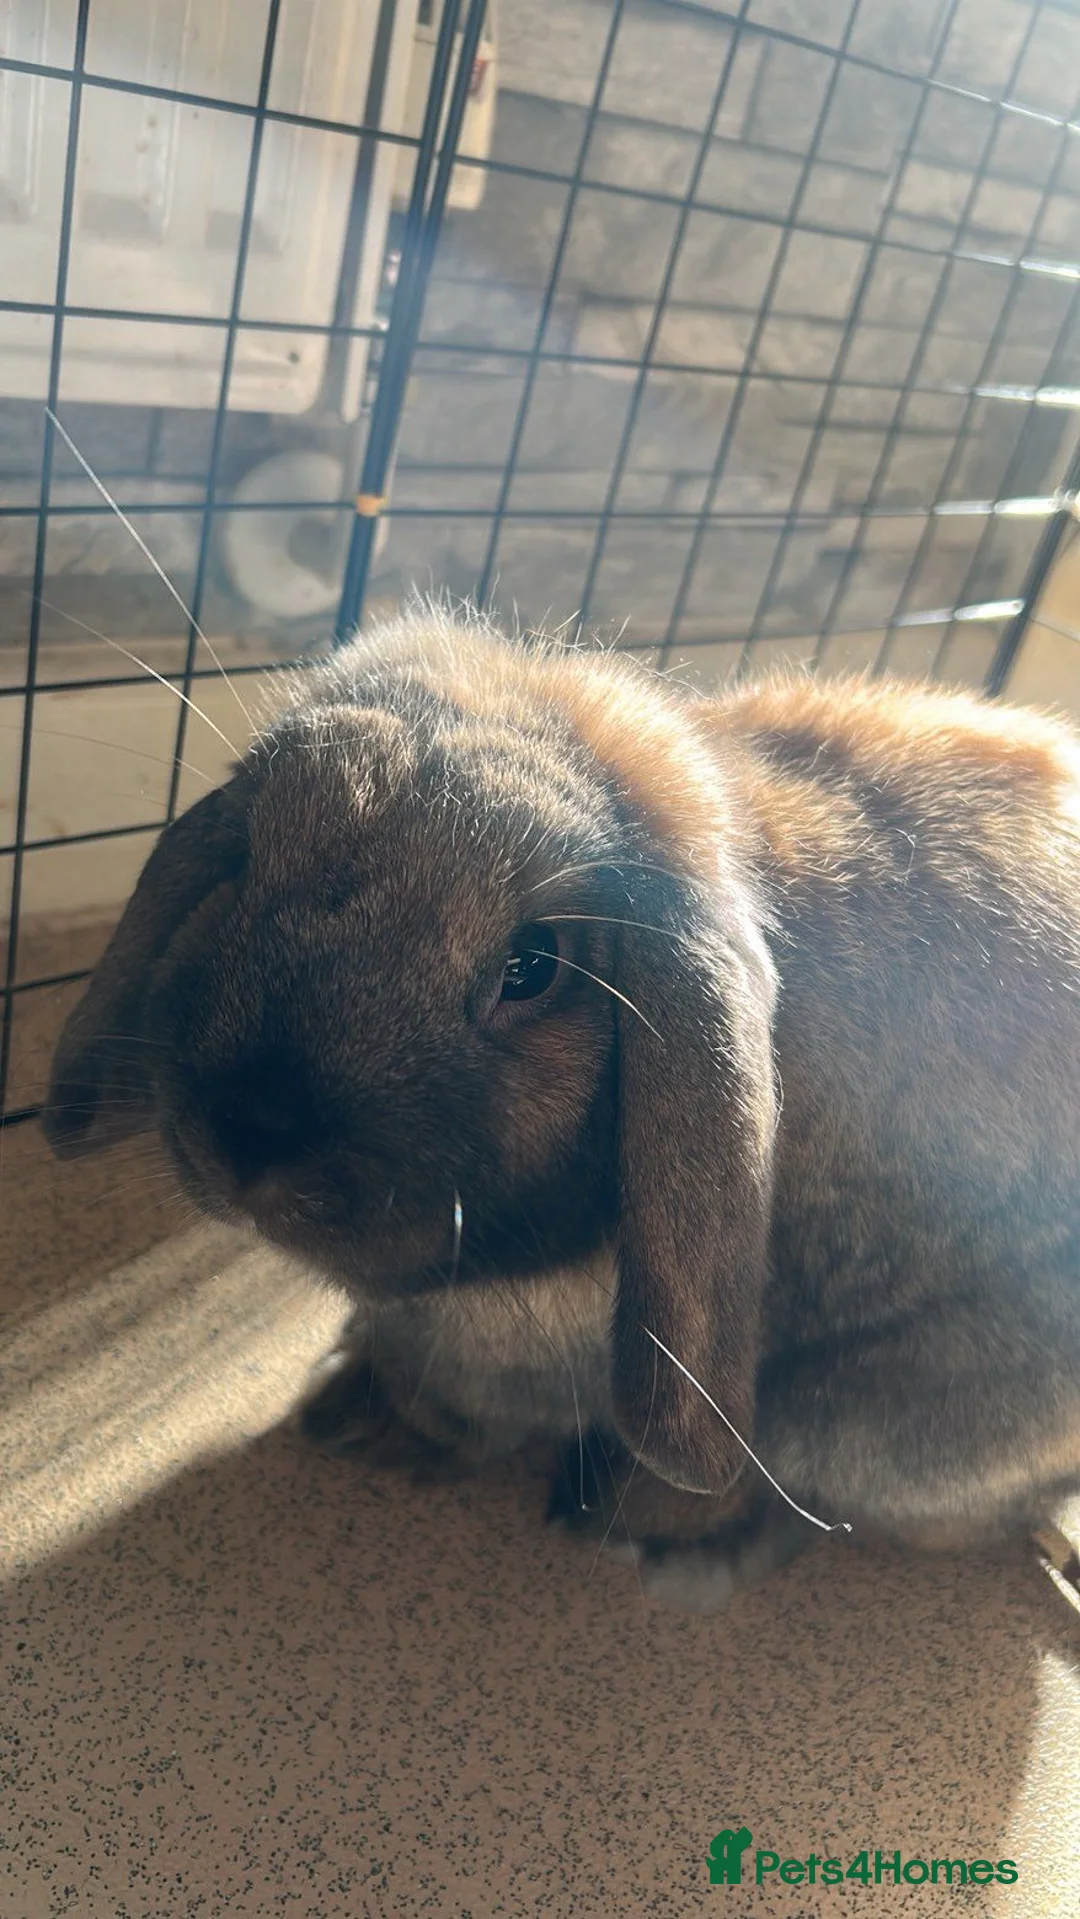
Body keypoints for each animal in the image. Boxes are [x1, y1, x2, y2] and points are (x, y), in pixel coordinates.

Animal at [44, 604, 1080, 1612]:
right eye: (250, 857)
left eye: (532, 967)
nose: (250, 1136)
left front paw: (361, 1422)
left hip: (858, 1419)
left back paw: (657, 1548)